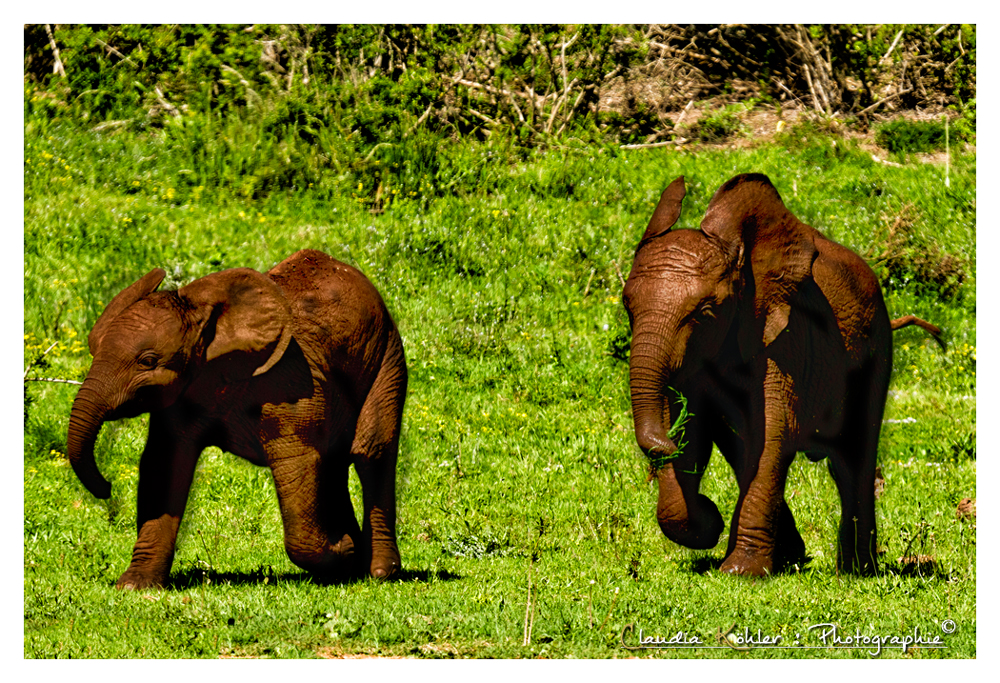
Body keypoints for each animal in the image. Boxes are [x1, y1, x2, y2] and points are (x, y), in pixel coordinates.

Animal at [66, 248, 406, 592]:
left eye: (148, 361)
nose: (107, 488)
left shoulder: (291, 379)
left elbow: (296, 459)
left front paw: (343, 551)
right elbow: (164, 464)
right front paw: (135, 586)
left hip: (387, 352)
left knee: (370, 452)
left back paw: (379, 571)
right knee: (334, 462)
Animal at [624, 174, 944, 576]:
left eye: (705, 311)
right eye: (626, 305)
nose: (709, 506)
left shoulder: (787, 335)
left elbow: (774, 430)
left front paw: (740, 572)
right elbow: (698, 435)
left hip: (876, 349)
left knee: (853, 456)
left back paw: (855, 571)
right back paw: (794, 557)